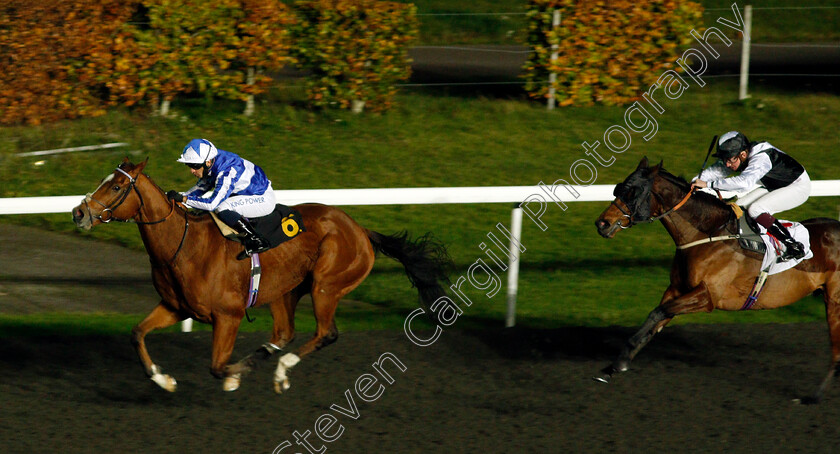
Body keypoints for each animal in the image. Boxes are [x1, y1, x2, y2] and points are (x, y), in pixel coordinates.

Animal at [72, 158, 452, 392]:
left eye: (116, 187)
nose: (78, 212)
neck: (184, 245)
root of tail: (360, 229)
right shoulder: (176, 306)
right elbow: (137, 334)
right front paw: (164, 380)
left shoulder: (228, 315)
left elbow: (217, 366)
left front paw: (234, 377)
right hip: (286, 290)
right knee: (284, 332)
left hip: (326, 285)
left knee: (326, 333)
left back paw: (282, 369)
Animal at [592, 157, 840, 404]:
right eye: (618, 188)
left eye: (632, 192)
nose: (602, 224)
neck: (706, 233)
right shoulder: (677, 289)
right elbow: (655, 321)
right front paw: (614, 367)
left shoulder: (707, 296)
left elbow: (657, 313)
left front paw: (620, 362)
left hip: (834, 301)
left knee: (836, 351)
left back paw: (815, 395)